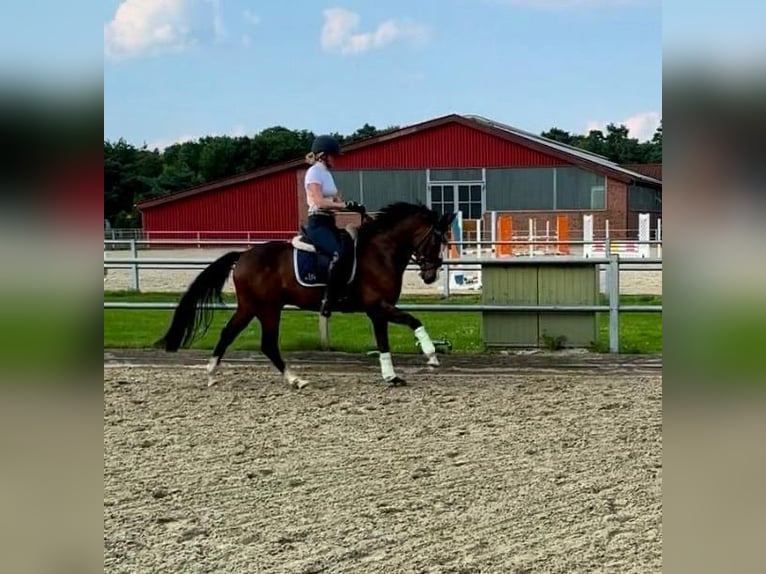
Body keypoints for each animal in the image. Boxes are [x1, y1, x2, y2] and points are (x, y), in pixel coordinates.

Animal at [153, 205, 460, 390]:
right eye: (437, 239)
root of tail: (243, 255)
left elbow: (384, 342)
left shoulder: (377, 311)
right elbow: (414, 320)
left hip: (251, 307)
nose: (431, 275)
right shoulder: (379, 306)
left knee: (230, 333)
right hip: (267, 308)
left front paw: (391, 376)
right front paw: (431, 355)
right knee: (267, 343)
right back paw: (295, 379)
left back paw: (212, 373)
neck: (381, 252)